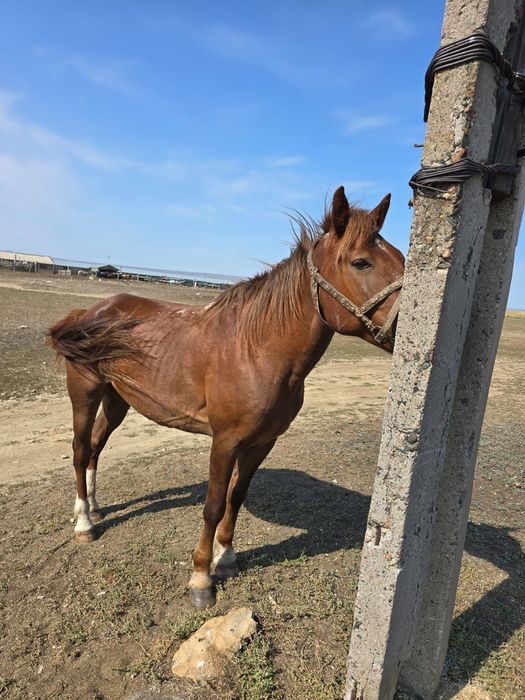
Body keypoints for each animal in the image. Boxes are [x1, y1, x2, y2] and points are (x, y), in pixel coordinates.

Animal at [47, 186, 405, 608]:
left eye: (402, 257)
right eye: (361, 262)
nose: (407, 327)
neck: (258, 350)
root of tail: (91, 310)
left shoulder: (262, 442)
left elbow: (237, 497)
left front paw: (228, 558)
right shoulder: (225, 441)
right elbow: (214, 504)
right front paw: (201, 578)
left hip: (118, 399)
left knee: (96, 447)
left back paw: (95, 507)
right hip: (85, 392)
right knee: (80, 449)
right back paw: (84, 521)